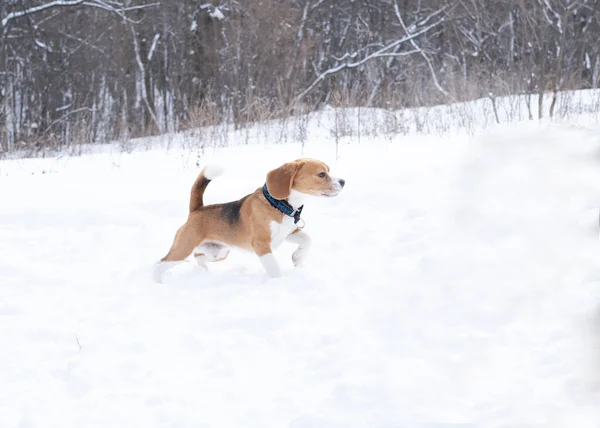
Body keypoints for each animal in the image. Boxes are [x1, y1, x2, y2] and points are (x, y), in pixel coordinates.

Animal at [152, 156, 344, 280]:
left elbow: (307, 240)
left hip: (218, 252)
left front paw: (298, 258)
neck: (279, 205)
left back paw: (205, 273)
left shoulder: (290, 233)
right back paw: (157, 281)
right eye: (321, 174)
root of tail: (197, 209)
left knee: (198, 257)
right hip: (183, 249)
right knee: (160, 263)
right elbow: (273, 267)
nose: (343, 181)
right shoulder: (261, 244)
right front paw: (280, 281)